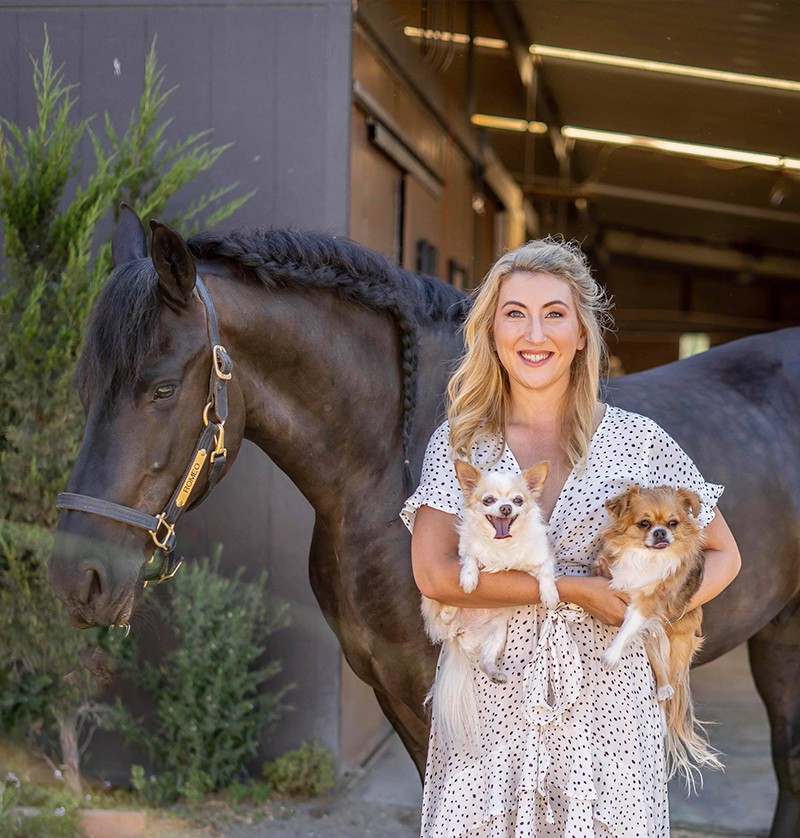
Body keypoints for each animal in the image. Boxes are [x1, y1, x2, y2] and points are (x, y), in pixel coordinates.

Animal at [422, 466, 560, 748]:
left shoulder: (540, 559)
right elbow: (471, 559)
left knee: (486, 660)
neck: (502, 544)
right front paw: (469, 580)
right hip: (437, 608)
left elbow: (545, 572)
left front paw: (550, 594)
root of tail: (459, 634)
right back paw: (450, 611)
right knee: (442, 613)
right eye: (489, 500)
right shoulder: (468, 552)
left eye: (518, 500)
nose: (505, 508)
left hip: (496, 634)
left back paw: (495, 673)